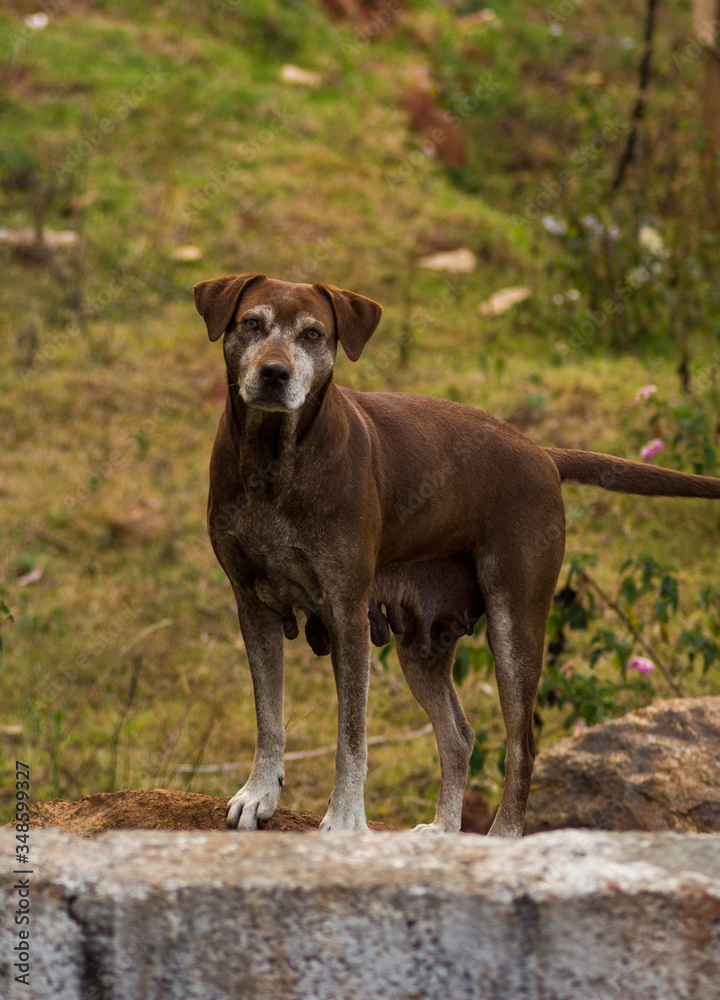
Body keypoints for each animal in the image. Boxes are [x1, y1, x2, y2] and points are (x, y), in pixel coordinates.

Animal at [194, 274, 720, 836]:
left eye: (313, 334)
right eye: (252, 323)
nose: (275, 373)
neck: (274, 462)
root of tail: (544, 455)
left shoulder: (345, 613)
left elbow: (351, 738)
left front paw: (346, 822)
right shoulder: (254, 606)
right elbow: (268, 717)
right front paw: (259, 793)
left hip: (515, 631)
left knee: (522, 749)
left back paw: (503, 836)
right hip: (421, 645)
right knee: (459, 737)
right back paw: (445, 830)